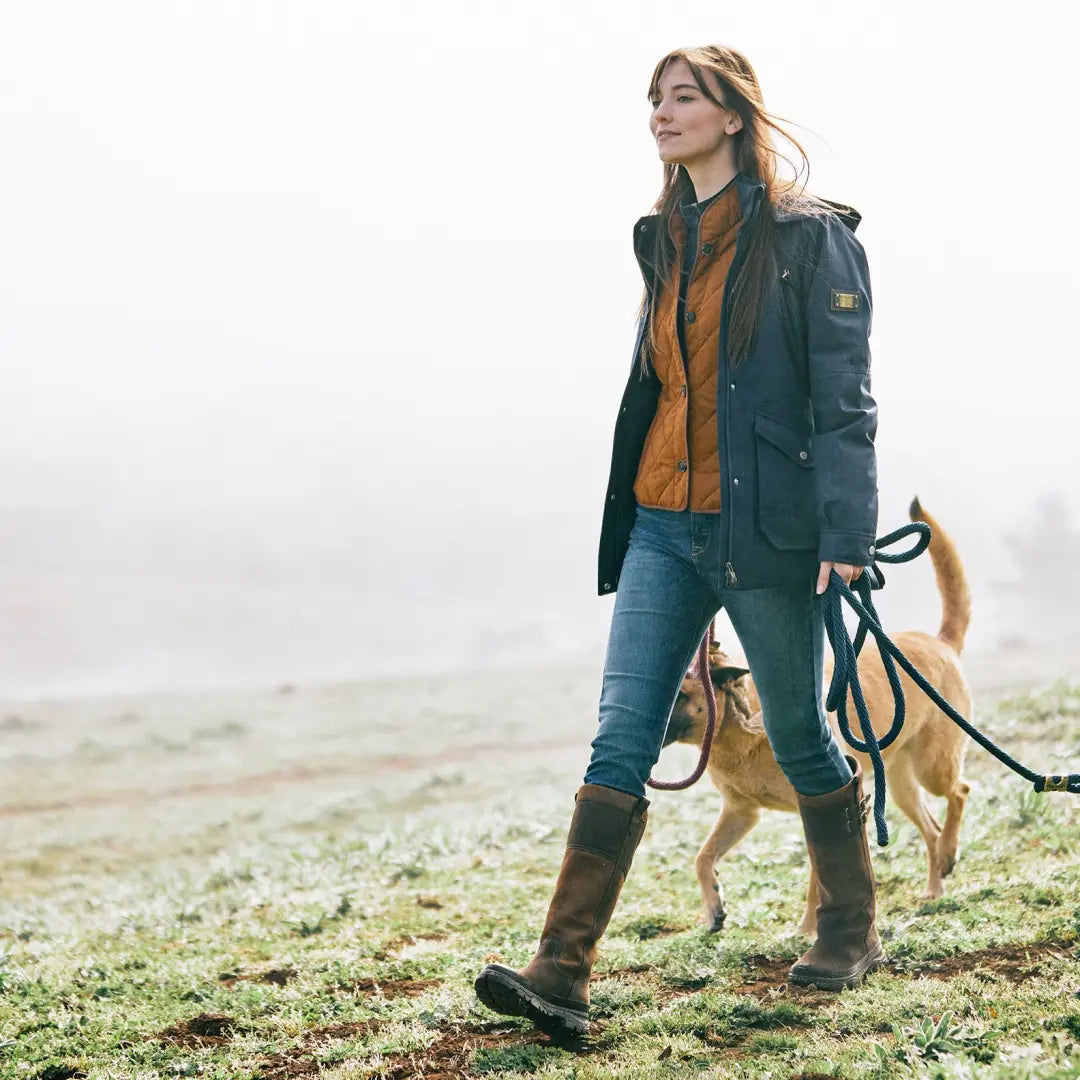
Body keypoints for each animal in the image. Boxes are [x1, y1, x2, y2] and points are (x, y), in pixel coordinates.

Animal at [660, 498, 976, 937]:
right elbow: (702, 857)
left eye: (681, 695)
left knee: (959, 792)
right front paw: (713, 908)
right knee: (930, 827)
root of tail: (939, 642)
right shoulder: (741, 813)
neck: (741, 732)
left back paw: (949, 852)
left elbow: (818, 880)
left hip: (932, 767)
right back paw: (935, 884)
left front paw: (809, 929)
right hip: (899, 784)